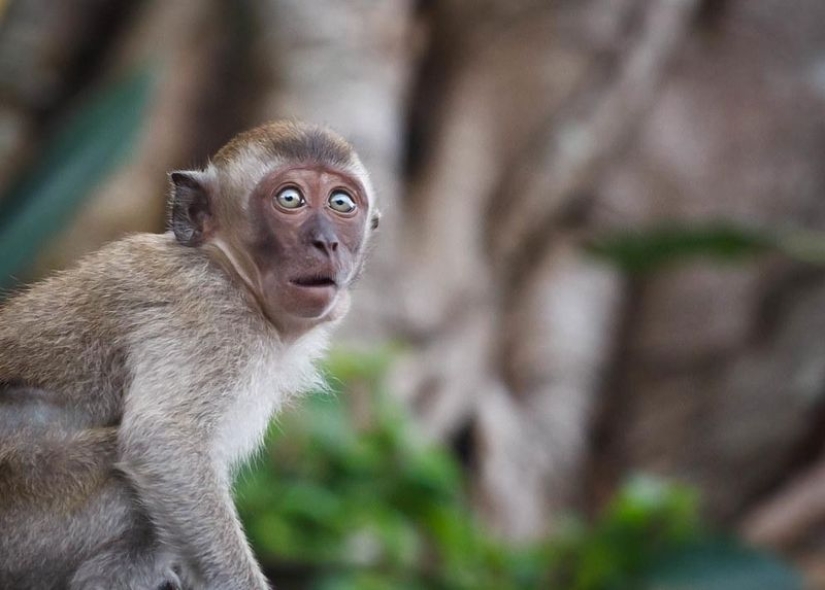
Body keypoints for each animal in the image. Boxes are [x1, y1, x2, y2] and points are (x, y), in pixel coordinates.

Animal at [0, 121, 380, 590]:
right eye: (290, 199)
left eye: (341, 203)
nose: (326, 241)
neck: (229, 270)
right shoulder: (210, 316)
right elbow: (165, 443)